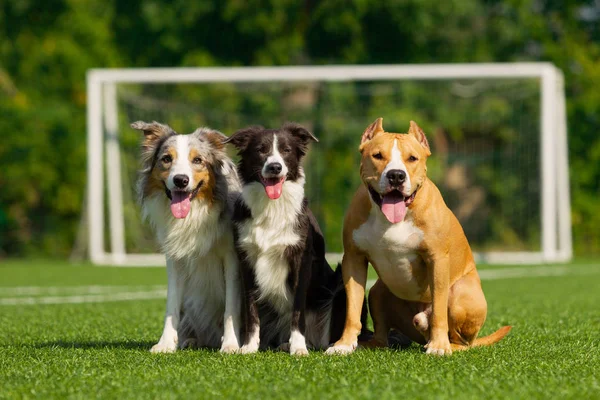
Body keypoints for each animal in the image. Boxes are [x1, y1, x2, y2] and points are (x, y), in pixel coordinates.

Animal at [132, 121, 243, 354]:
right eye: (166, 159)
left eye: (197, 160)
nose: (180, 180)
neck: (195, 211)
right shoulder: (175, 259)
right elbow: (172, 303)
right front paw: (165, 343)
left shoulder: (232, 258)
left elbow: (231, 307)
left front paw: (230, 344)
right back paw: (190, 340)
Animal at [223, 123, 358, 354]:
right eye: (261, 150)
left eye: (286, 150)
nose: (275, 167)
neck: (271, 207)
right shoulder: (246, 261)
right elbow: (251, 311)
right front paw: (248, 347)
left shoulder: (299, 261)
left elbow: (297, 311)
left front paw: (299, 348)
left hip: (339, 285)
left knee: (321, 340)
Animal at [328, 117, 510, 354]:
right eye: (377, 155)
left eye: (412, 158)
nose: (396, 175)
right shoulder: (353, 259)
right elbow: (353, 309)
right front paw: (344, 344)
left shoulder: (437, 259)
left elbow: (439, 309)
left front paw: (439, 346)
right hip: (377, 292)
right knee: (382, 336)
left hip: (461, 294)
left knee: (460, 340)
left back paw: (443, 343)